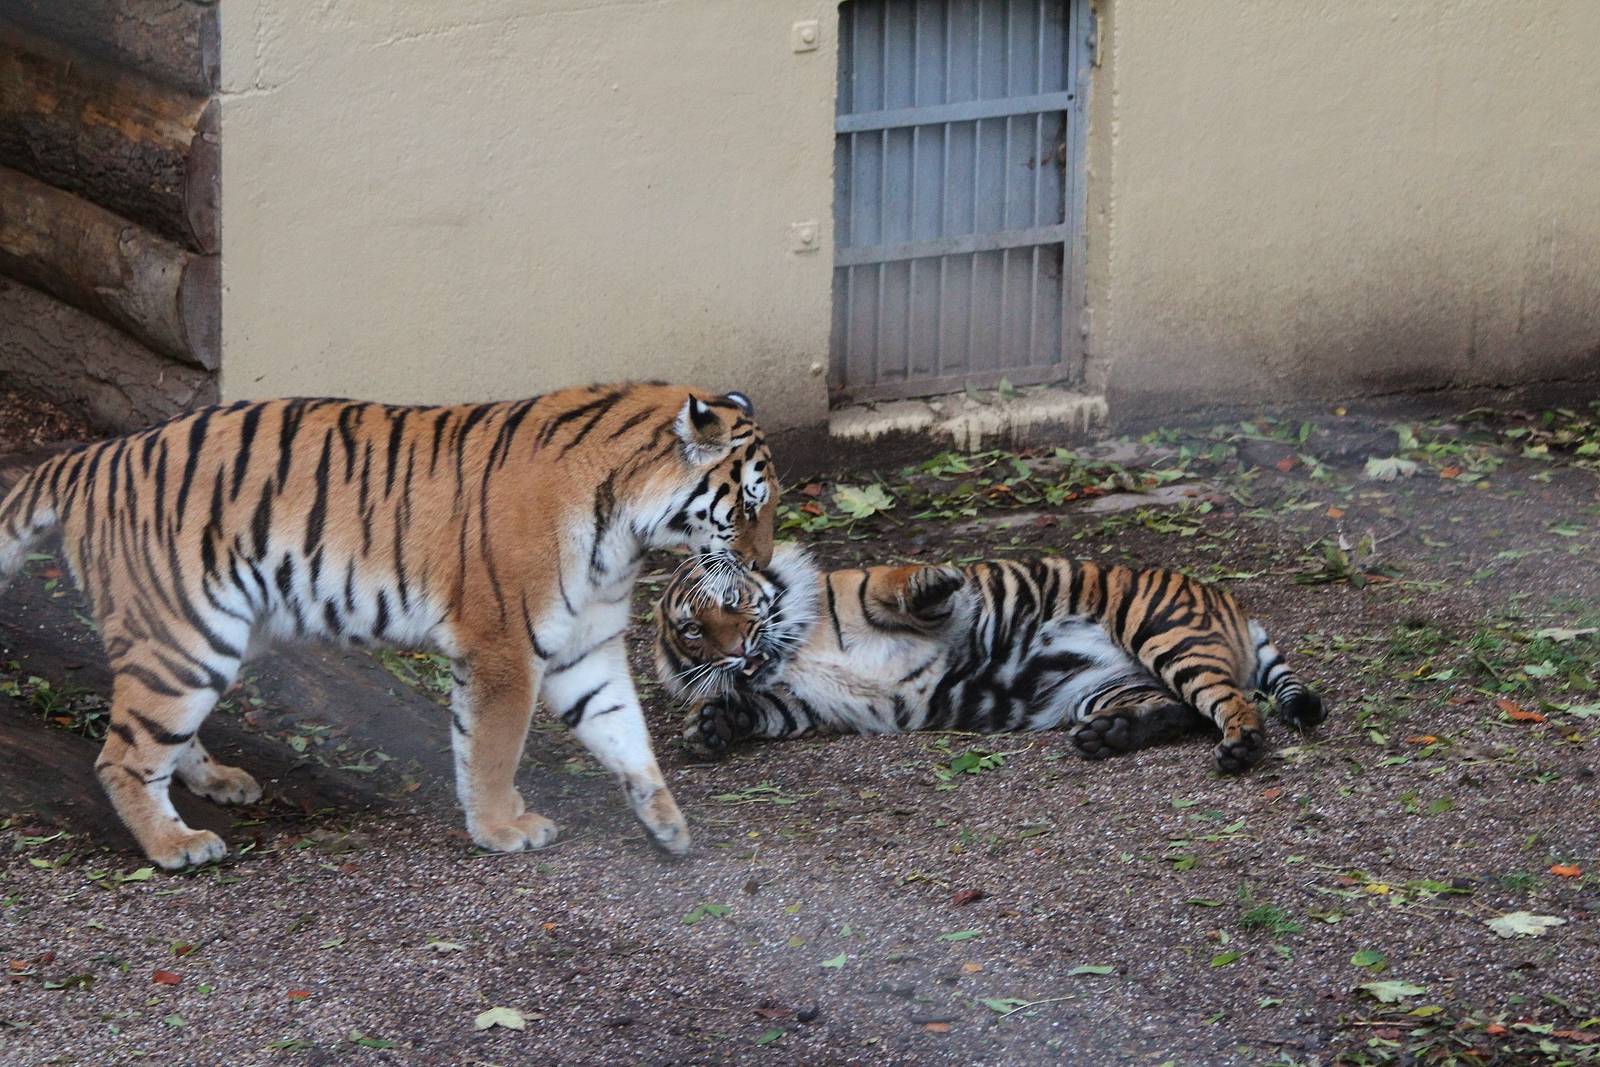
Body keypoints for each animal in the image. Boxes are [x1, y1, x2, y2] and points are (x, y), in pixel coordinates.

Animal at [0, 382, 777, 869]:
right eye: (747, 505)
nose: (765, 564)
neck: (627, 532)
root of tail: (90, 457)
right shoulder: (503, 647)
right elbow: (493, 747)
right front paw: (502, 827)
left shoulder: (586, 648)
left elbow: (625, 735)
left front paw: (666, 824)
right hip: (185, 638)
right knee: (123, 756)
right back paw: (174, 847)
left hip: (216, 638)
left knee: (164, 735)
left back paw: (218, 781)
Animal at [654, 542, 1325, 770]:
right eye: (692, 629)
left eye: (733, 599)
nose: (735, 647)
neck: (788, 655)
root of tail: (1228, 600)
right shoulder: (810, 705)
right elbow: (759, 709)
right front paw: (710, 725)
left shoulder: (869, 596)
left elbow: (898, 585)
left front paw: (937, 579)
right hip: (1101, 688)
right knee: (1178, 710)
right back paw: (1107, 737)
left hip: (1161, 630)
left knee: (1230, 702)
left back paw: (1240, 747)